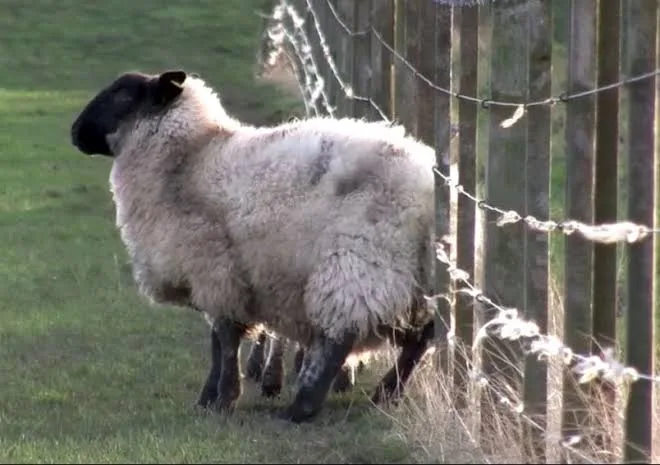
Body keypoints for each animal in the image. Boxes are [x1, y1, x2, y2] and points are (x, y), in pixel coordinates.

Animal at [68, 70, 438, 424]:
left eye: (123, 94)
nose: (74, 132)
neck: (190, 158)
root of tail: (425, 183)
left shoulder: (214, 269)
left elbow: (224, 339)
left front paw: (221, 397)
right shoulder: (221, 279)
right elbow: (220, 340)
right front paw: (210, 398)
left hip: (358, 261)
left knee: (342, 335)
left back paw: (302, 408)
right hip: (404, 278)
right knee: (421, 336)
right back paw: (386, 394)